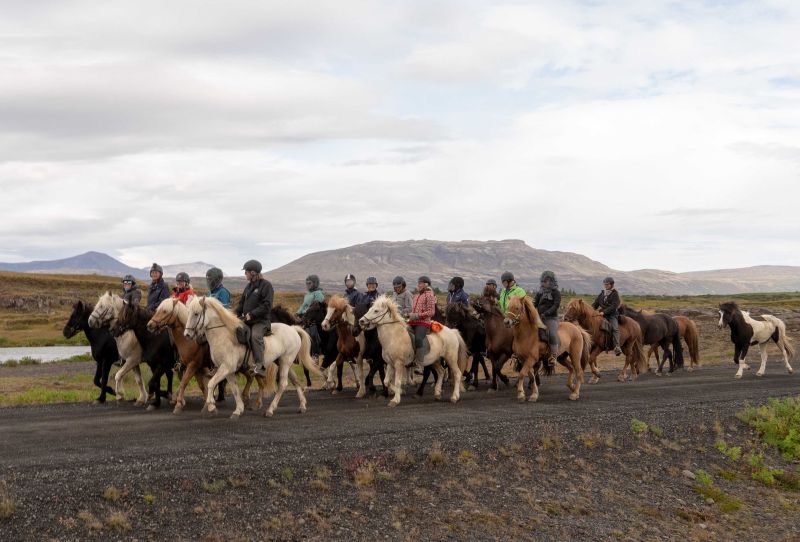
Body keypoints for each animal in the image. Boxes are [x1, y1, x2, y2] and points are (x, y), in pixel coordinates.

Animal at [184, 298, 324, 420]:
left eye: (196, 313)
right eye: (189, 312)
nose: (187, 334)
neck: (224, 336)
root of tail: (293, 329)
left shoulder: (226, 367)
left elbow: (211, 384)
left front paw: (212, 407)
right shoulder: (227, 371)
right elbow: (234, 389)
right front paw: (238, 410)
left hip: (285, 361)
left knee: (283, 384)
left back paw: (270, 410)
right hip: (282, 362)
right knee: (295, 381)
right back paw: (302, 406)